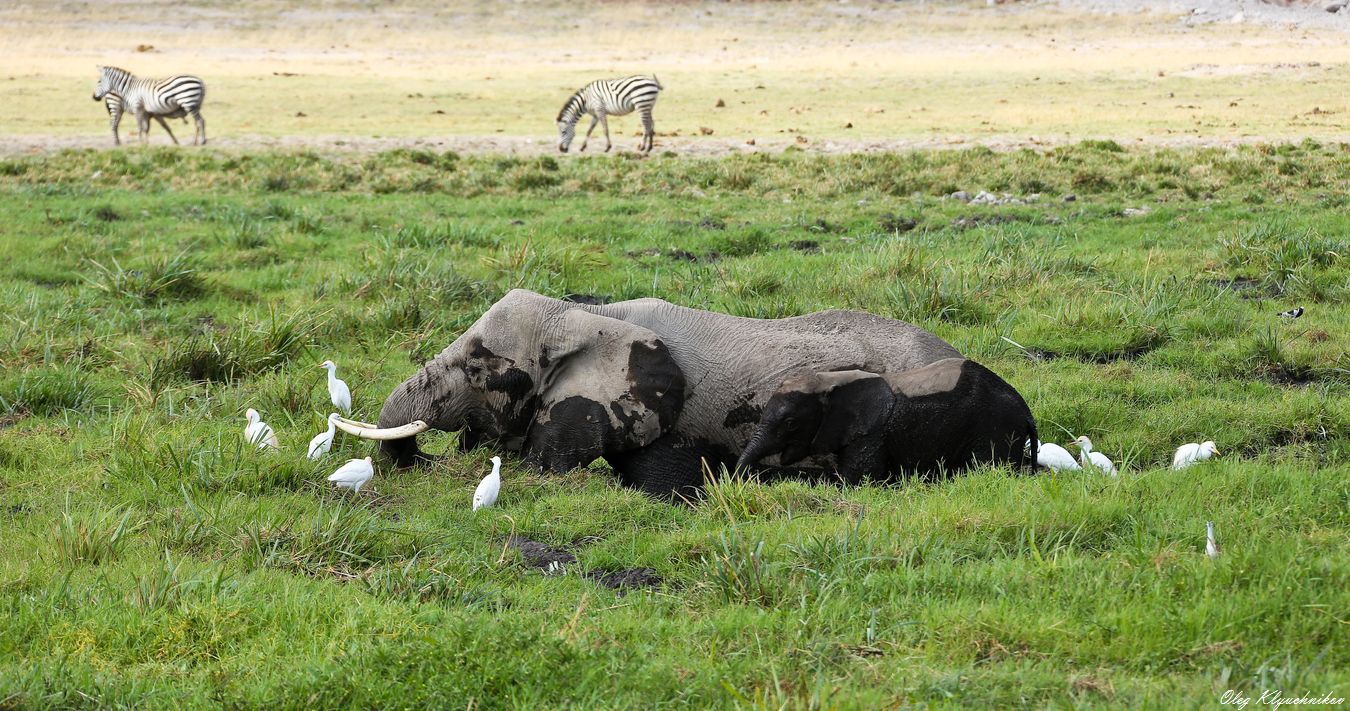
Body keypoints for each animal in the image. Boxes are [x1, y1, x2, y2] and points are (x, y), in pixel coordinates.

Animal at [739, 356, 1031, 482]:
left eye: (790, 424)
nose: (743, 478)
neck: (828, 380)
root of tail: (1028, 413)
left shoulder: (871, 432)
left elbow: (857, 479)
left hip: (996, 427)